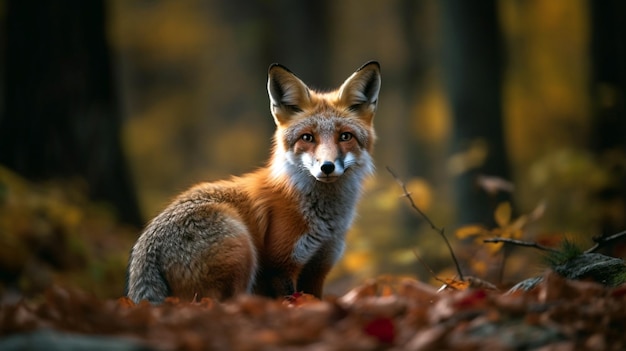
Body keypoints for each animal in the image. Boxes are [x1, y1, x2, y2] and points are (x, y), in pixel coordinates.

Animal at [125, 59, 380, 302]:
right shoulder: (280, 267)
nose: (327, 167)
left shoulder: (318, 268)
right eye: (307, 137)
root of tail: (144, 249)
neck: (326, 221)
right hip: (240, 248)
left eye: (345, 136)